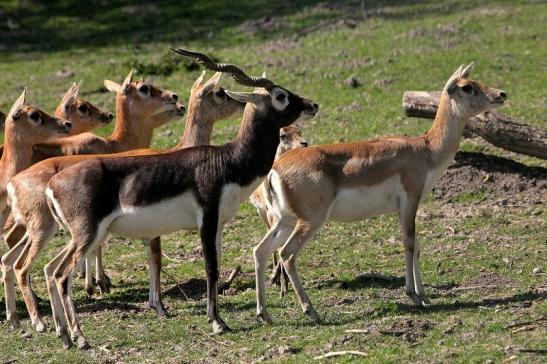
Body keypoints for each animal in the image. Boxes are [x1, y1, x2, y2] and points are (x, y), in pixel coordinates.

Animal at [42, 49, 318, 348]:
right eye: (280, 95)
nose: (313, 105)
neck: (227, 161)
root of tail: (52, 184)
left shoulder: (218, 224)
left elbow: (216, 267)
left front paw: (218, 319)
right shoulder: (206, 219)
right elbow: (210, 267)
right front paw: (217, 323)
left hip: (83, 236)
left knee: (49, 268)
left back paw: (63, 335)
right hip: (88, 234)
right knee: (61, 275)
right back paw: (80, 338)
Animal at [253, 63, 510, 324]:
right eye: (467, 87)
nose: (501, 94)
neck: (426, 149)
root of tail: (275, 169)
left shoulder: (404, 207)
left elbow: (417, 245)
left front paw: (425, 296)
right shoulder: (410, 200)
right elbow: (409, 243)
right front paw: (414, 295)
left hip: (285, 220)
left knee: (260, 250)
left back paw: (264, 314)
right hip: (310, 220)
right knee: (287, 254)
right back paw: (311, 311)